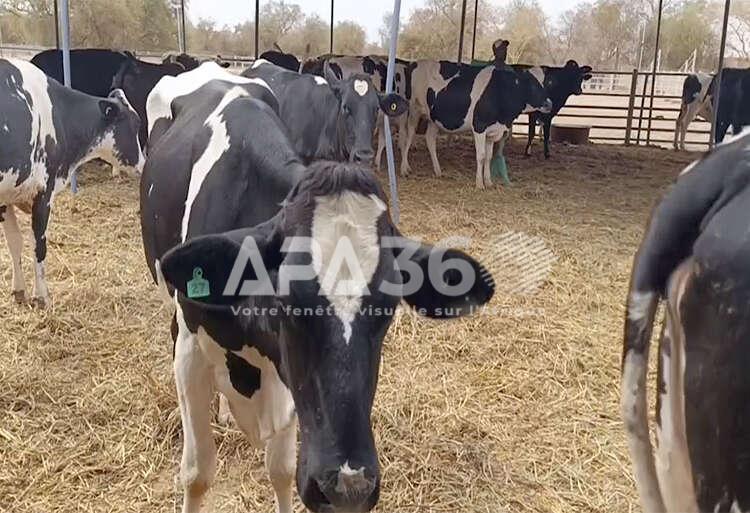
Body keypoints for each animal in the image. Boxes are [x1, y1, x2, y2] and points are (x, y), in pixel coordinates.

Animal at [0, 58, 144, 306]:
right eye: (135, 125)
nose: (145, 163)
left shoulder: (7, 196)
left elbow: (14, 243)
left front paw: (19, 291)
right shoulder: (44, 192)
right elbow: (39, 245)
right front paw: (42, 297)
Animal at [403, 40, 552, 189]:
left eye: (545, 83)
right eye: (532, 84)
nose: (549, 104)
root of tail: (417, 62)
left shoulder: (492, 131)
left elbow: (488, 157)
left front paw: (489, 181)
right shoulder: (479, 126)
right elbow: (481, 156)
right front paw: (479, 183)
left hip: (434, 118)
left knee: (430, 139)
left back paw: (438, 170)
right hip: (414, 110)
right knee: (409, 136)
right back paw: (405, 169)